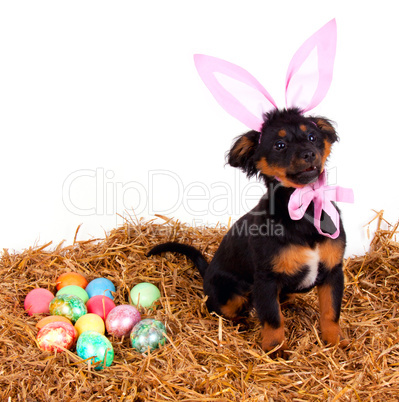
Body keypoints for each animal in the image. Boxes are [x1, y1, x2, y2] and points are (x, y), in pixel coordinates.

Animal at [149, 107, 350, 354]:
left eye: (313, 137)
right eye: (280, 145)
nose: (309, 153)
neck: (305, 209)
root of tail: (207, 272)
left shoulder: (333, 271)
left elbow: (331, 313)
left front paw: (336, 342)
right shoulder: (266, 279)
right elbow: (273, 319)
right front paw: (275, 350)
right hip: (231, 292)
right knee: (220, 309)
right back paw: (241, 323)